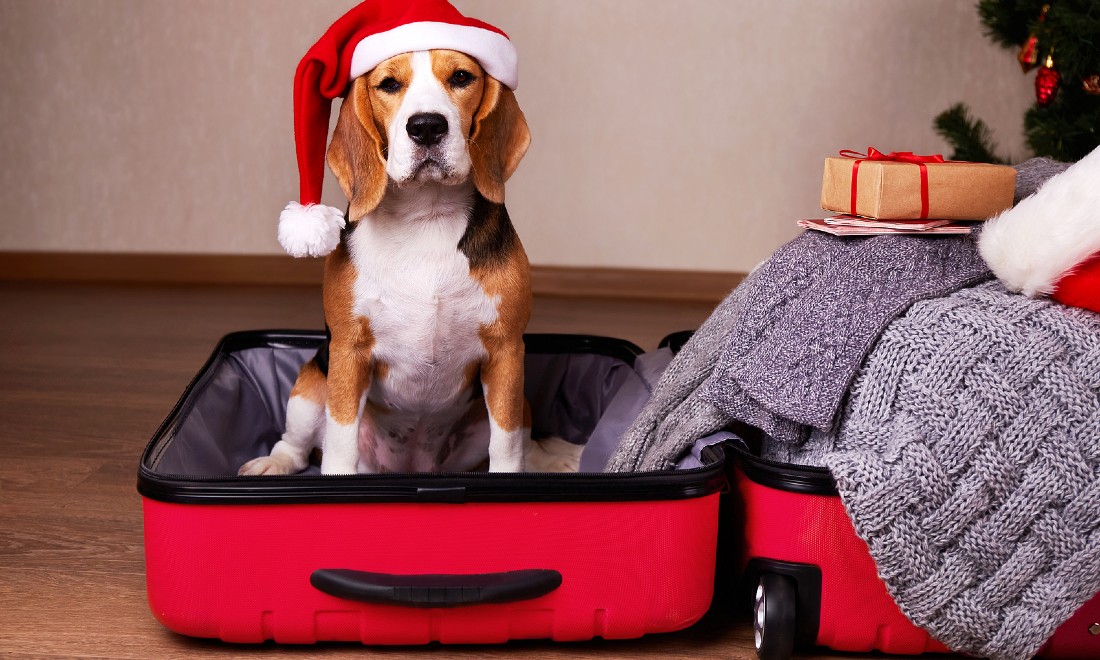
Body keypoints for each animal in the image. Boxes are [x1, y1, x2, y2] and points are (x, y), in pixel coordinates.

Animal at [240, 48, 550, 475]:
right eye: (389, 84)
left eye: (461, 77)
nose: (426, 127)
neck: (426, 215)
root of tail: (412, 468)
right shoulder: (348, 352)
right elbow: (340, 443)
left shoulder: (506, 352)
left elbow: (506, 447)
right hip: (310, 383)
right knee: (296, 445)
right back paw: (274, 464)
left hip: (524, 404)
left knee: (523, 441)